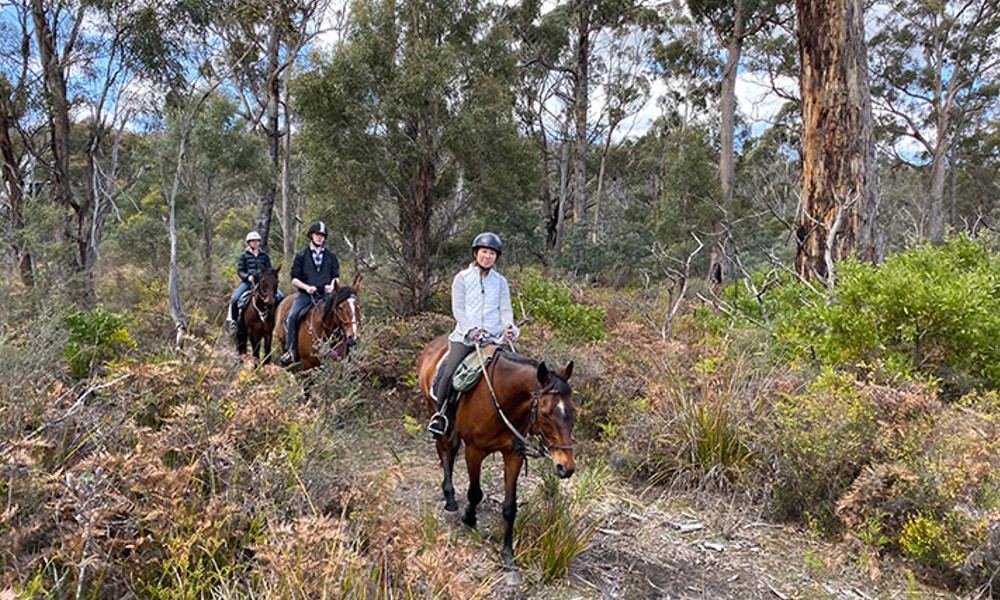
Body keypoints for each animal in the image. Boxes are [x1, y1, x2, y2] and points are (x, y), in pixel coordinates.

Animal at [416, 336, 580, 576]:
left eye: (573, 412)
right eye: (545, 414)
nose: (565, 467)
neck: (502, 399)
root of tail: (434, 344)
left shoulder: (513, 454)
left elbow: (510, 507)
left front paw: (507, 555)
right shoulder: (474, 450)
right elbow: (475, 492)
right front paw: (469, 518)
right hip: (435, 411)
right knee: (446, 450)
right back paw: (450, 500)